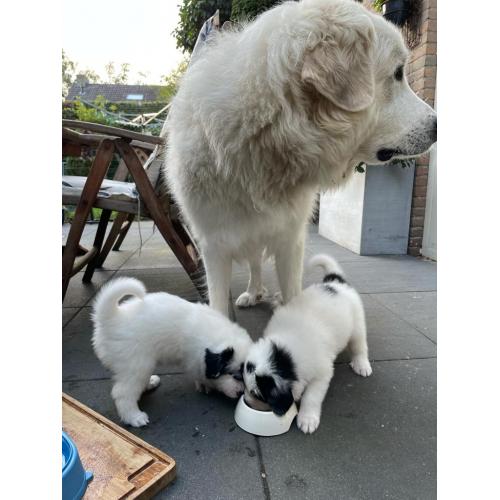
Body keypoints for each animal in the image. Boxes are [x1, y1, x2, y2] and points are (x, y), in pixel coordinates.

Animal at [92, 278, 252, 426]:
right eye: (236, 376)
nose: (240, 393)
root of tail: (111, 319)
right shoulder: (195, 358)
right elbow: (202, 374)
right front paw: (205, 385)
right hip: (136, 363)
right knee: (123, 392)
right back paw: (134, 417)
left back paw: (149, 383)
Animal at [165, 0, 438, 316]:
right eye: (397, 73)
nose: (437, 126)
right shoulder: (214, 246)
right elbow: (219, 304)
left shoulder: (290, 238)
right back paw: (253, 292)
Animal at [242, 254, 372, 434]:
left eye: (257, 394)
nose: (246, 401)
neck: (286, 351)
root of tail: (336, 283)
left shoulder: (322, 374)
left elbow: (311, 397)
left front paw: (307, 419)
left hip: (357, 326)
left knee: (360, 346)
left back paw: (362, 365)